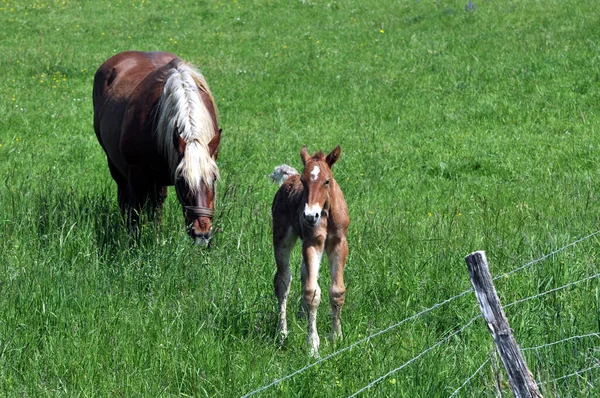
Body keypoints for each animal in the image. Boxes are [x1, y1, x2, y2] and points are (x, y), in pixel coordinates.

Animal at [90, 51, 219, 244]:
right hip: (116, 167)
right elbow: (135, 212)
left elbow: (155, 208)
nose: (202, 233)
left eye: (214, 179)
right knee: (125, 198)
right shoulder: (136, 176)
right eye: (182, 181)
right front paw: (133, 243)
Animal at [270, 145, 350, 356]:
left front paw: (336, 337)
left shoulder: (339, 243)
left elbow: (337, 291)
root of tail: (289, 176)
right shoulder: (313, 242)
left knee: (304, 272)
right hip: (282, 238)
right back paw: (282, 333)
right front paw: (313, 345)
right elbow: (312, 293)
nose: (309, 216)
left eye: (327, 181)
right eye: (304, 181)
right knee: (283, 280)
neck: (326, 213)